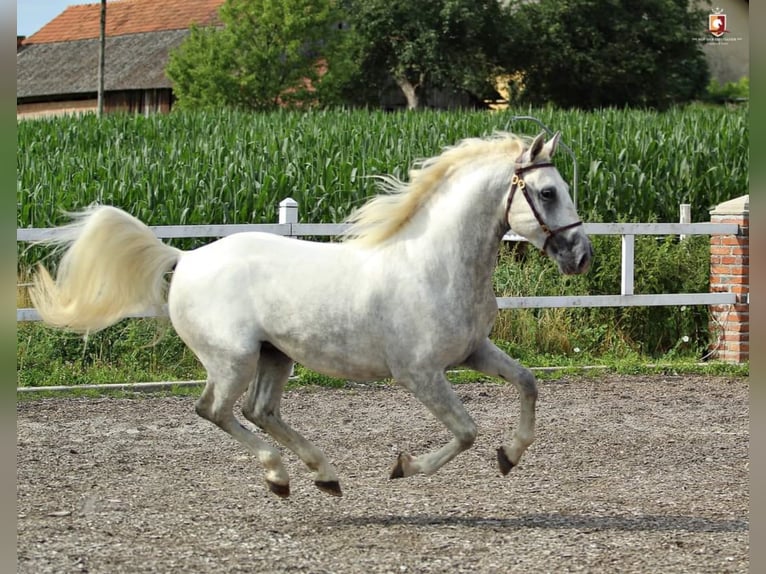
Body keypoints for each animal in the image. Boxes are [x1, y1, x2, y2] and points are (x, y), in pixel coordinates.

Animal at [30, 130, 592, 500]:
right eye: (547, 192)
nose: (581, 256)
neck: (435, 263)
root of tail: (185, 257)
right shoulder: (419, 373)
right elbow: (466, 430)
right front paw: (404, 467)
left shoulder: (473, 352)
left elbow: (528, 383)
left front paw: (510, 456)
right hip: (232, 359)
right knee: (215, 411)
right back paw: (279, 477)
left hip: (275, 356)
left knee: (260, 411)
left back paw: (325, 475)